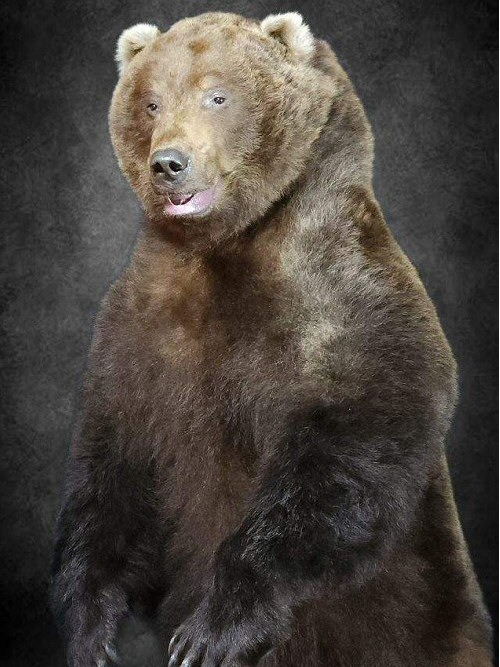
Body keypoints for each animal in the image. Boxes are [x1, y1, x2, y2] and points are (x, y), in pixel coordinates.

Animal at [51, 11, 493, 667]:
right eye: (151, 102)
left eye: (217, 96)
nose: (169, 163)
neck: (224, 244)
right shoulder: (139, 325)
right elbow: (114, 463)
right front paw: (91, 630)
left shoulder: (340, 292)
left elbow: (346, 445)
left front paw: (207, 633)